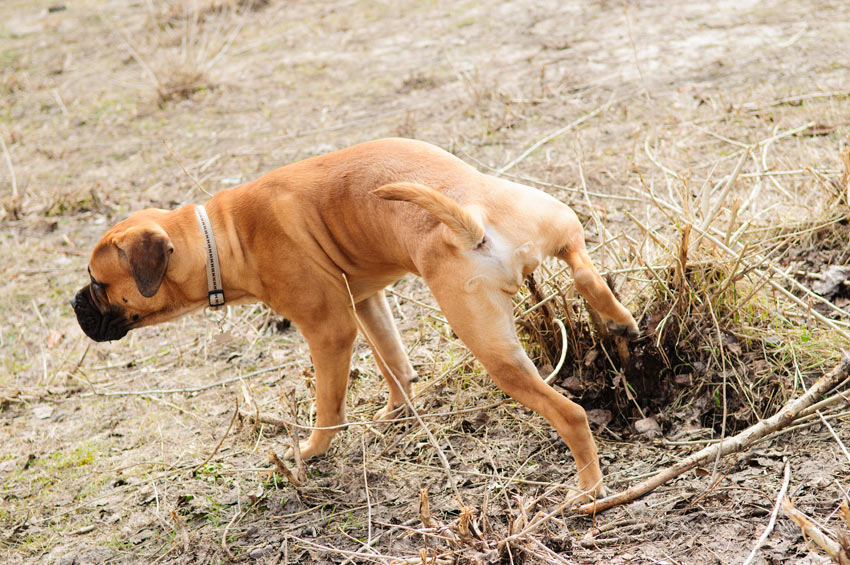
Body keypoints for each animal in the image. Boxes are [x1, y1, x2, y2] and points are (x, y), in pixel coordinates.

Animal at [69, 138, 632, 498]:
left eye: (98, 285)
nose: (75, 305)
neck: (219, 237)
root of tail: (467, 216)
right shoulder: (366, 303)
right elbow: (393, 365)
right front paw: (396, 413)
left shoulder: (329, 331)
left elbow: (329, 405)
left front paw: (313, 450)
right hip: (555, 221)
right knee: (585, 271)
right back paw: (619, 319)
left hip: (493, 349)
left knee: (570, 414)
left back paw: (588, 488)